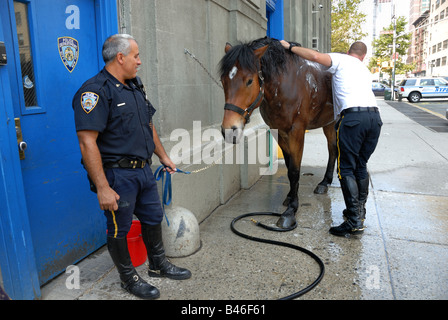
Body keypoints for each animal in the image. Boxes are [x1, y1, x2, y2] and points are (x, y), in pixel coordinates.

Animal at [219, 36, 338, 229]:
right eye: (223, 80)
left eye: (249, 80)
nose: (229, 130)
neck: (285, 85)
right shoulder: (279, 131)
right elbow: (289, 166)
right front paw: (290, 197)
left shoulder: (297, 131)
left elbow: (295, 170)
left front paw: (291, 210)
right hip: (328, 122)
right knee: (333, 149)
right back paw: (325, 182)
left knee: (334, 149)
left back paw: (325, 183)